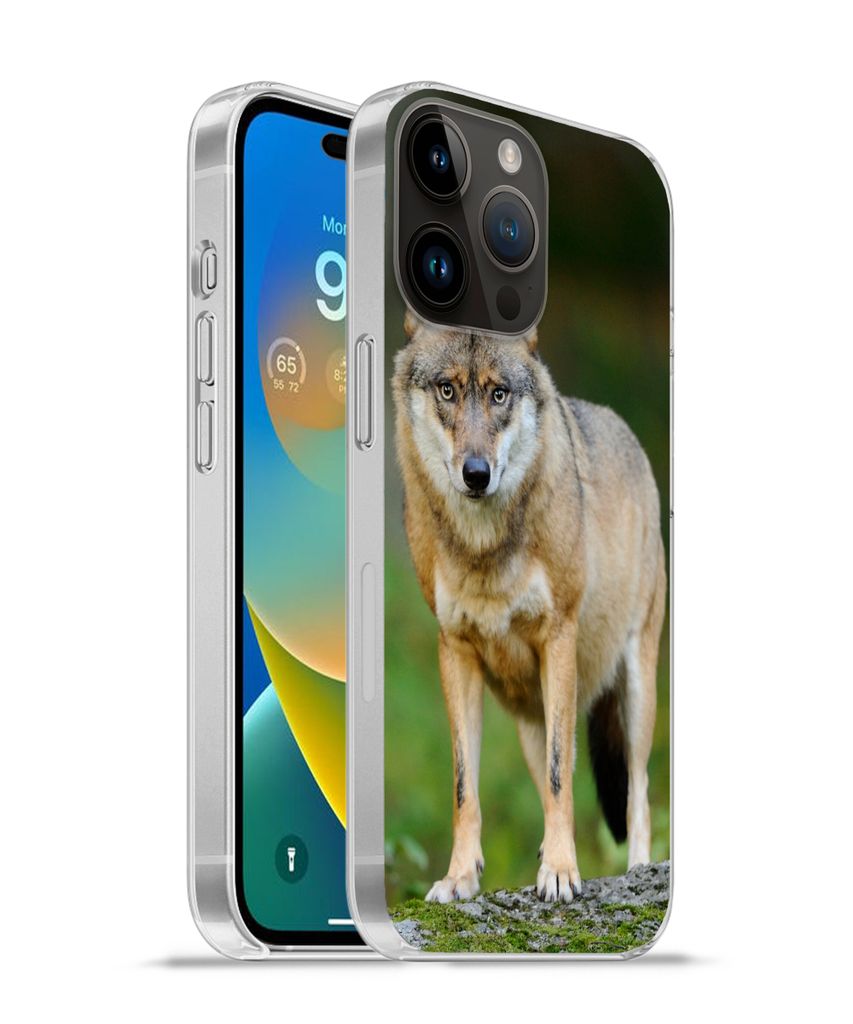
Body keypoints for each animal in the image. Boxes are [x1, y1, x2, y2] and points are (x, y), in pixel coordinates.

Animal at [392, 313, 667, 903]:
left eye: (499, 394)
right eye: (447, 390)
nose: (476, 473)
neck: (483, 550)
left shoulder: (557, 636)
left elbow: (566, 780)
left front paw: (561, 873)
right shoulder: (454, 651)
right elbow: (465, 787)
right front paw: (460, 877)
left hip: (635, 690)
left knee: (637, 792)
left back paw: (635, 872)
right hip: (529, 718)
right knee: (550, 787)